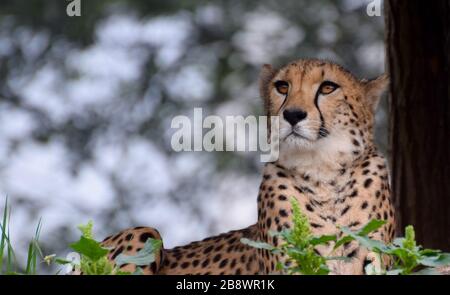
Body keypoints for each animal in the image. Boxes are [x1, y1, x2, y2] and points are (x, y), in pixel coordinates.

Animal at [97, 59, 394, 276]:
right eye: (282, 87)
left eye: (328, 87)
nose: (292, 114)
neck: (323, 174)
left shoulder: (371, 256)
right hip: (144, 232)